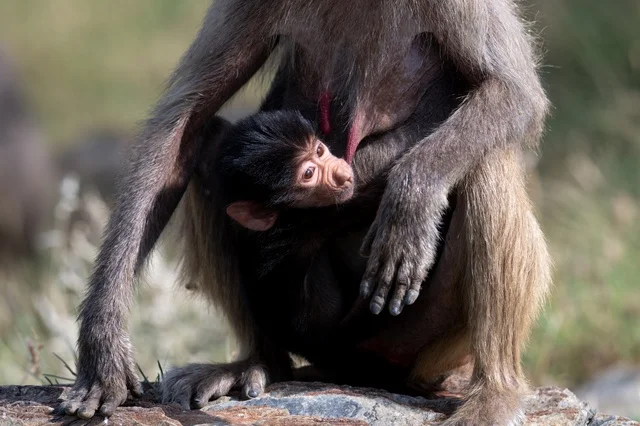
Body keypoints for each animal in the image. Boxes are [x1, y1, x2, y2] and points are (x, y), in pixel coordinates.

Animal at [59, 2, 551, 425]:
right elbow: (185, 120)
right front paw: (102, 347)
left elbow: (511, 94)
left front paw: (412, 193)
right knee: (208, 147)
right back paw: (260, 362)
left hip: (424, 345)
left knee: (484, 160)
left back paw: (495, 392)